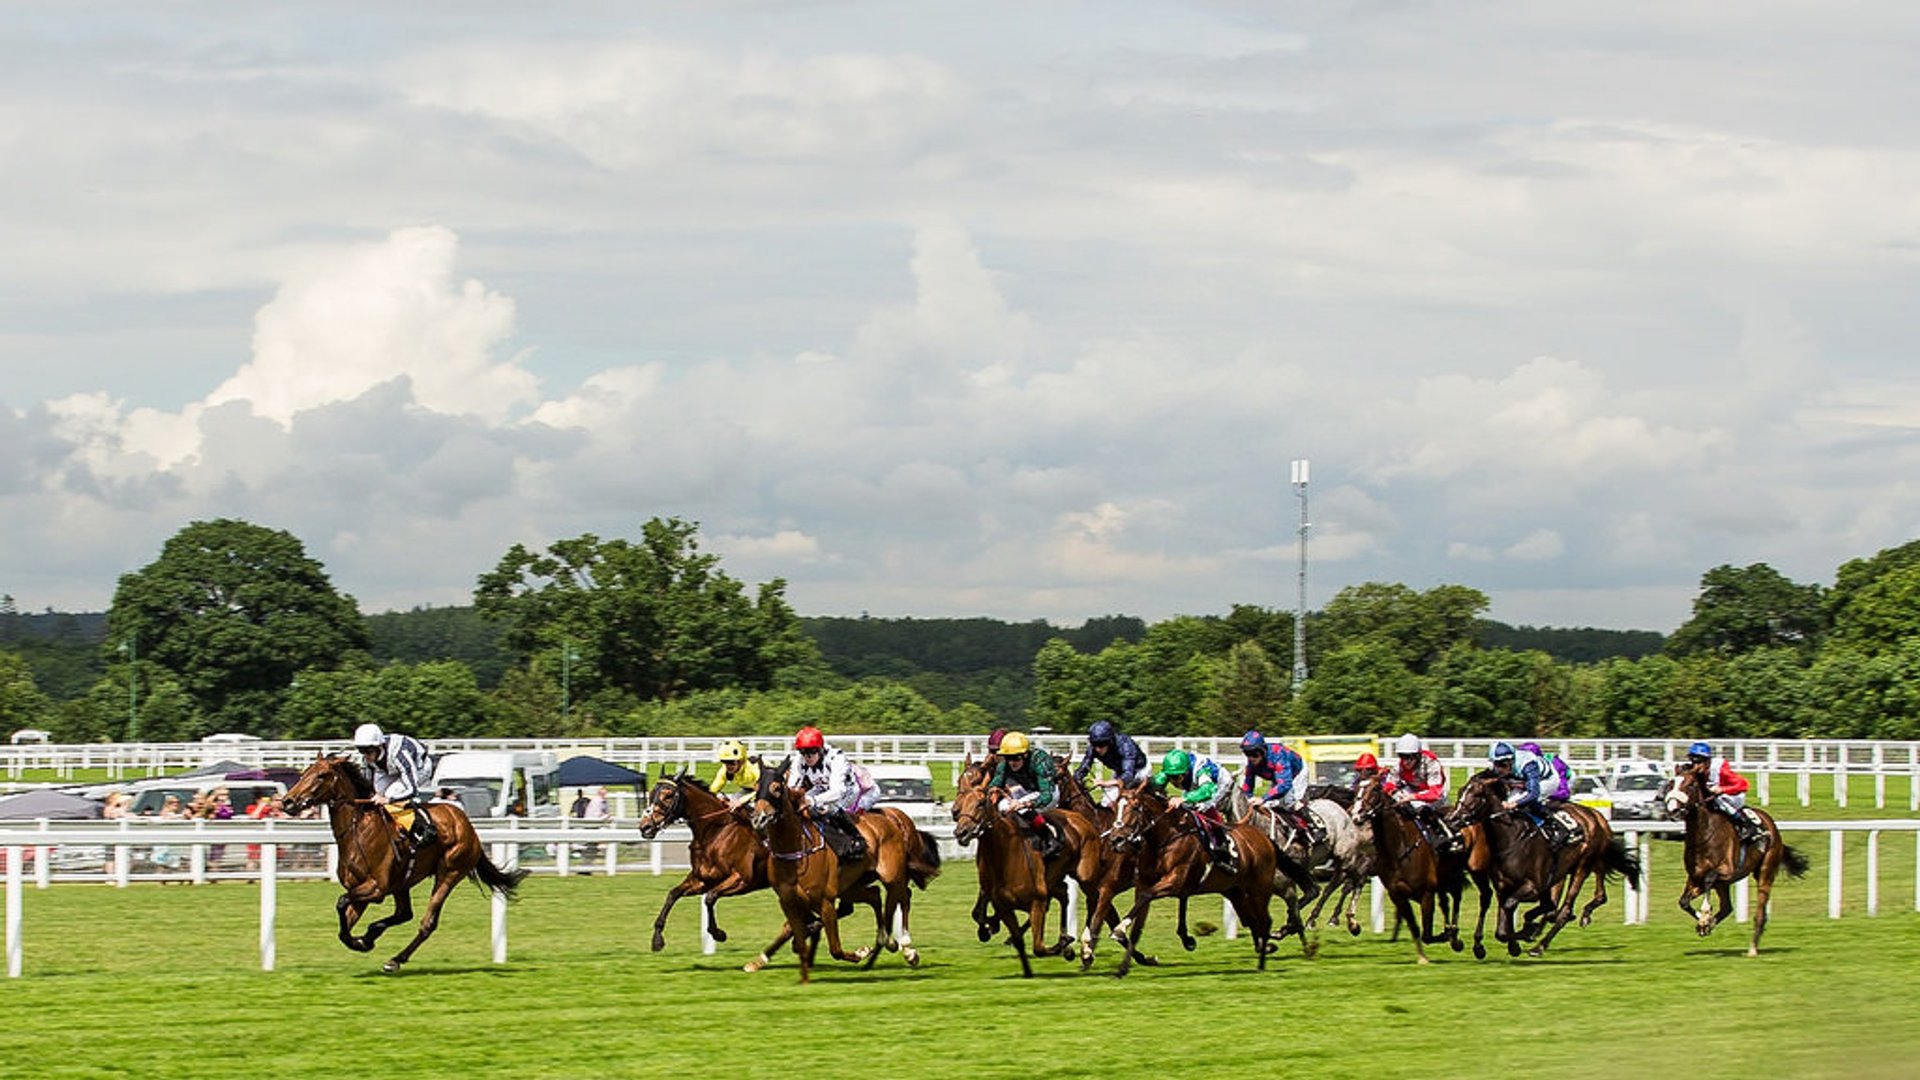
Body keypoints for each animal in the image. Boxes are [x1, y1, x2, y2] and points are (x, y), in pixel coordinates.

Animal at [280, 753, 529, 972]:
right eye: (304, 773)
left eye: (321, 775)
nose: (287, 801)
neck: (358, 829)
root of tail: (466, 824)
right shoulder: (360, 889)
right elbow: (343, 929)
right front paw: (363, 940)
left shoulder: (376, 888)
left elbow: (341, 902)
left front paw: (363, 940)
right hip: (402, 882)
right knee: (404, 913)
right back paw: (374, 934)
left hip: (449, 872)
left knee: (427, 923)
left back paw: (395, 960)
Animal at [744, 753, 940, 980]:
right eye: (756, 788)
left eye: (776, 787)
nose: (758, 818)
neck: (797, 849)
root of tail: (895, 821)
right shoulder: (790, 899)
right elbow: (791, 929)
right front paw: (759, 961)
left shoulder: (824, 899)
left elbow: (834, 947)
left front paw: (861, 952)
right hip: (852, 886)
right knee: (875, 895)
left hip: (892, 876)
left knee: (901, 898)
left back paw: (902, 947)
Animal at [1451, 768, 1635, 953]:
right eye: (1460, 792)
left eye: (1476, 794)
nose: (1453, 819)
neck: (1510, 839)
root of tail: (1597, 816)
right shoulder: (1503, 888)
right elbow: (1502, 929)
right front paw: (1518, 938)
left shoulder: (1534, 887)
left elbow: (1513, 907)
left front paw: (1523, 935)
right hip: (1564, 872)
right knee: (1576, 901)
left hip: (1582, 867)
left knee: (1566, 909)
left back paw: (1540, 945)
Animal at [1658, 760, 1804, 953]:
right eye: (1670, 784)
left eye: (1690, 785)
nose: (1673, 809)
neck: (1704, 835)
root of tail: (1772, 824)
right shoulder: (1695, 877)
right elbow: (1683, 902)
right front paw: (1704, 923)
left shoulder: (1726, 871)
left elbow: (1709, 878)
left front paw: (1705, 916)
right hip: (1724, 884)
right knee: (1727, 907)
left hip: (1765, 872)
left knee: (1760, 912)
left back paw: (1753, 948)